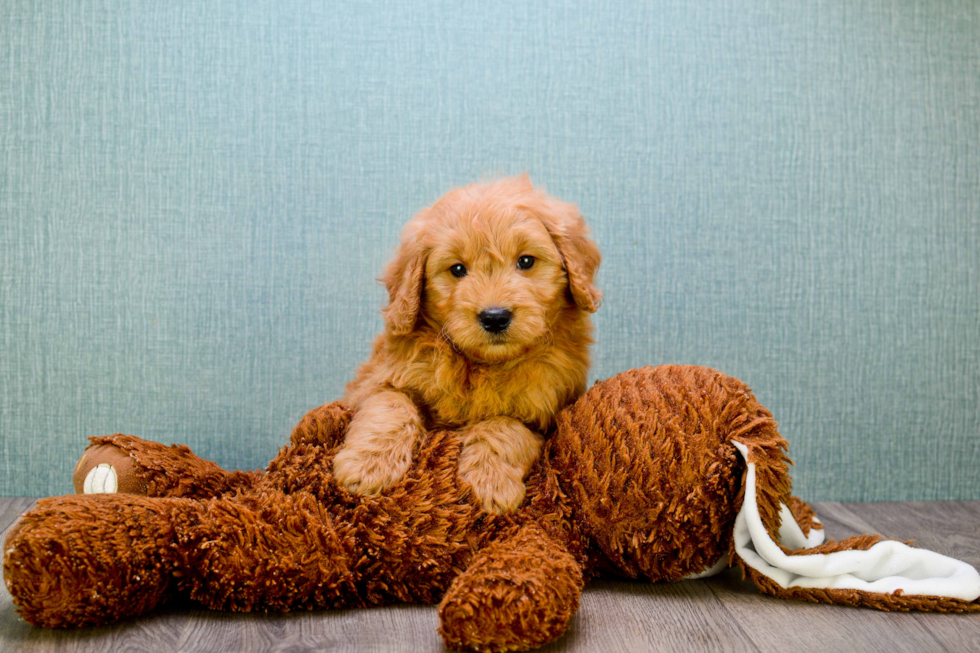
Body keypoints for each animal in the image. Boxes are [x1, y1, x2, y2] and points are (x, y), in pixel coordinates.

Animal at [334, 176, 600, 512]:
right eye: (457, 269)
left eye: (526, 261)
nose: (495, 317)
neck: (479, 365)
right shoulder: (375, 382)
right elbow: (391, 404)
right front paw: (367, 466)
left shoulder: (543, 417)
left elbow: (504, 426)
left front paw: (491, 482)